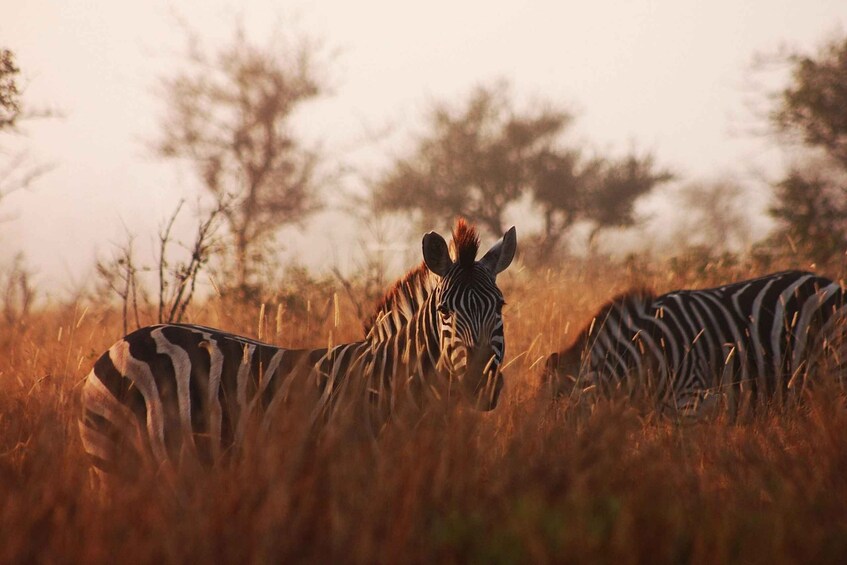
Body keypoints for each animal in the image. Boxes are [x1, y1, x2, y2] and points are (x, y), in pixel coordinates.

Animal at [81, 220, 516, 476]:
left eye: (500, 307)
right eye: (444, 311)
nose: (481, 384)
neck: (395, 382)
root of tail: (121, 342)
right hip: (117, 462)